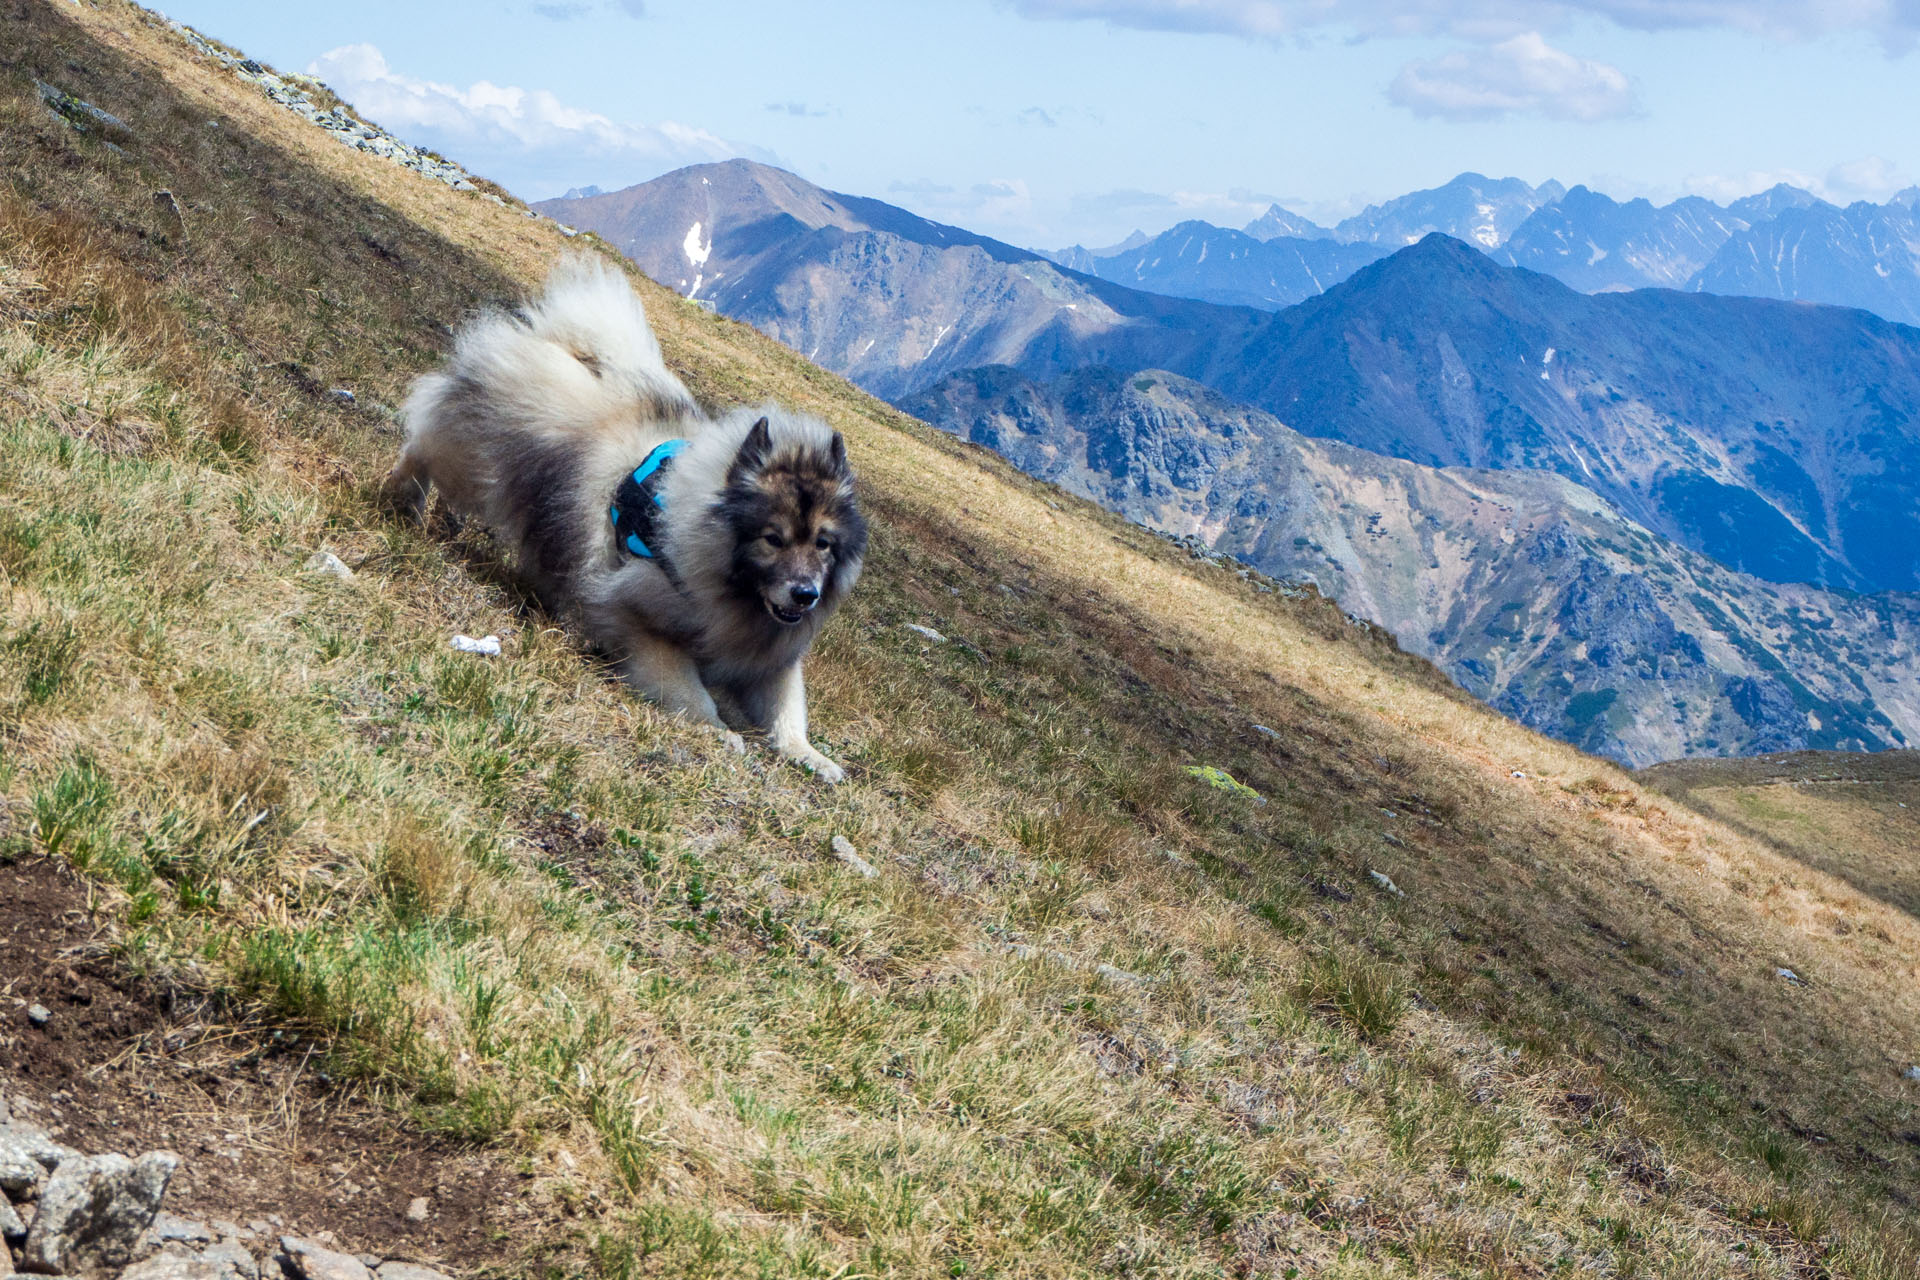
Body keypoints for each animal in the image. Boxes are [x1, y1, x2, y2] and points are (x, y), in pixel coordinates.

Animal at [385, 255, 867, 782]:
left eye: (822, 544)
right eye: (772, 539)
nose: (806, 594)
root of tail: (566, 346)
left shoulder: (772, 658)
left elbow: (787, 710)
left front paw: (811, 755)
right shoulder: (639, 619)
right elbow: (688, 688)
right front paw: (716, 730)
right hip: (471, 460)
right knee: (423, 445)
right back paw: (403, 498)